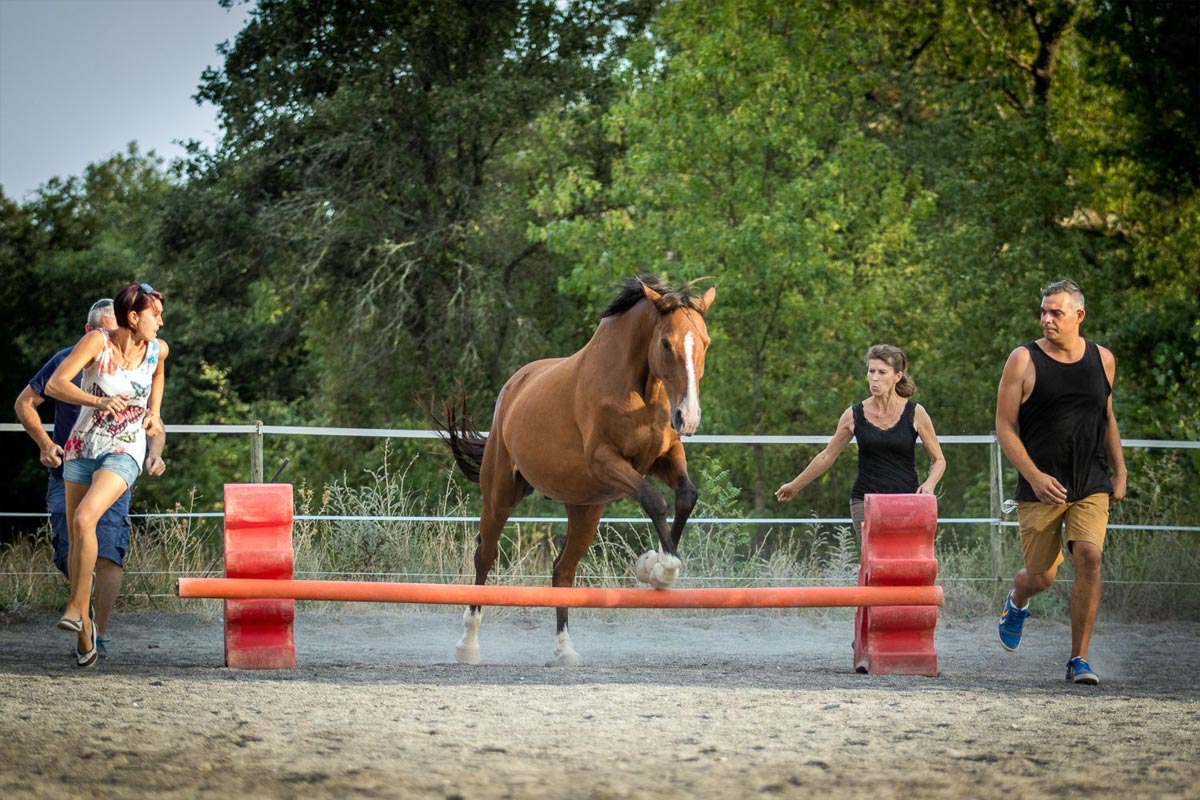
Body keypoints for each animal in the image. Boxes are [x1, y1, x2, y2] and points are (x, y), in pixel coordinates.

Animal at [432, 273, 710, 662]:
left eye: (706, 343)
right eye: (666, 344)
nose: (688, 418)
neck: (637, 390)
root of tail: (513, 385)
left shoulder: (664, 458)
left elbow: (686, 495)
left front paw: (653, 568)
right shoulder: (606, 461)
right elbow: (654, 499)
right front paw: (662, 570)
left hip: (585, 507)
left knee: (562, 571)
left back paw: (564, 650)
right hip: (500, 494)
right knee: (484, 556)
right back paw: (467, 645)